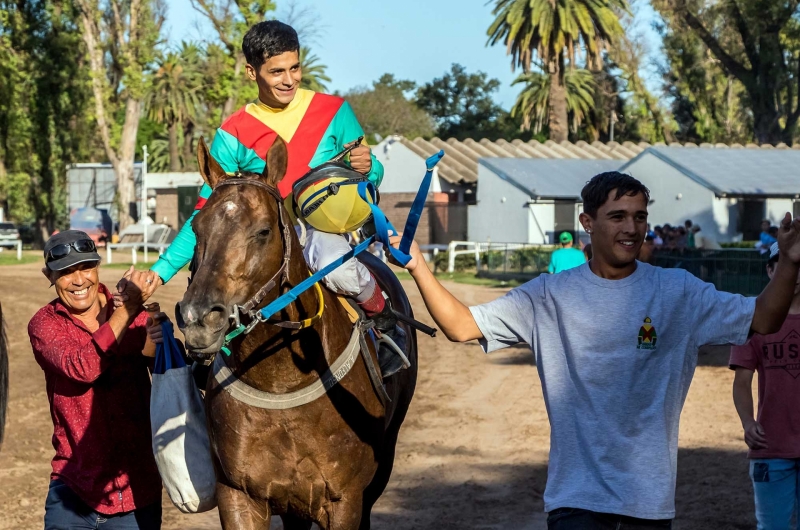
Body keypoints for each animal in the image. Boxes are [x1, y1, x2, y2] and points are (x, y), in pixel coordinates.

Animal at [177, 137, 418, 528]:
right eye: (197, 228)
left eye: (263, 231)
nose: (199, 319)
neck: (281, 383)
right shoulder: (238, 493)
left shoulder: (345, 499)